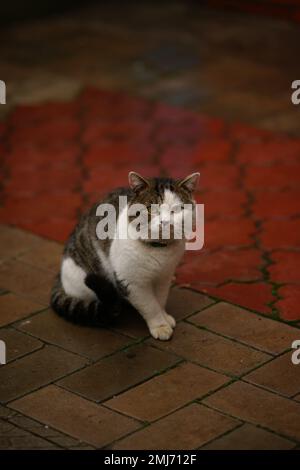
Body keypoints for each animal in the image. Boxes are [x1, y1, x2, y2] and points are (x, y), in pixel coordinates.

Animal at [50, 171, 198, 340]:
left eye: (177, 209)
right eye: (151, 209)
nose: (165, 222)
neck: (159, 251)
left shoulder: (164, 277)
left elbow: (160, 299)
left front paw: (164, 317)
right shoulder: (131, 282)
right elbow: (150, 305)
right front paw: (160, 326)